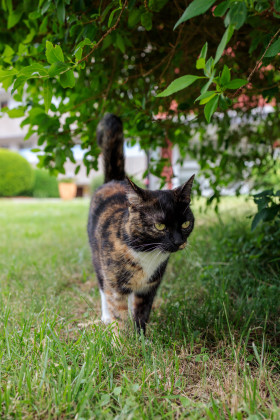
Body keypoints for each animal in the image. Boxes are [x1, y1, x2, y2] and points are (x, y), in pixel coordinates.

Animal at [87, 112, 195, 334]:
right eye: (160, 226)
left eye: (185, 224)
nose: (179, 241)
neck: (146, 252)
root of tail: (114, 180)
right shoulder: (115, 287)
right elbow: (118, 315)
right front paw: (121, 339)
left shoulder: (149, 288)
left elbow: (142, 314)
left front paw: (141, 338)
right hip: (97, 259)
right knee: (102, 287)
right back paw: (105, 317)